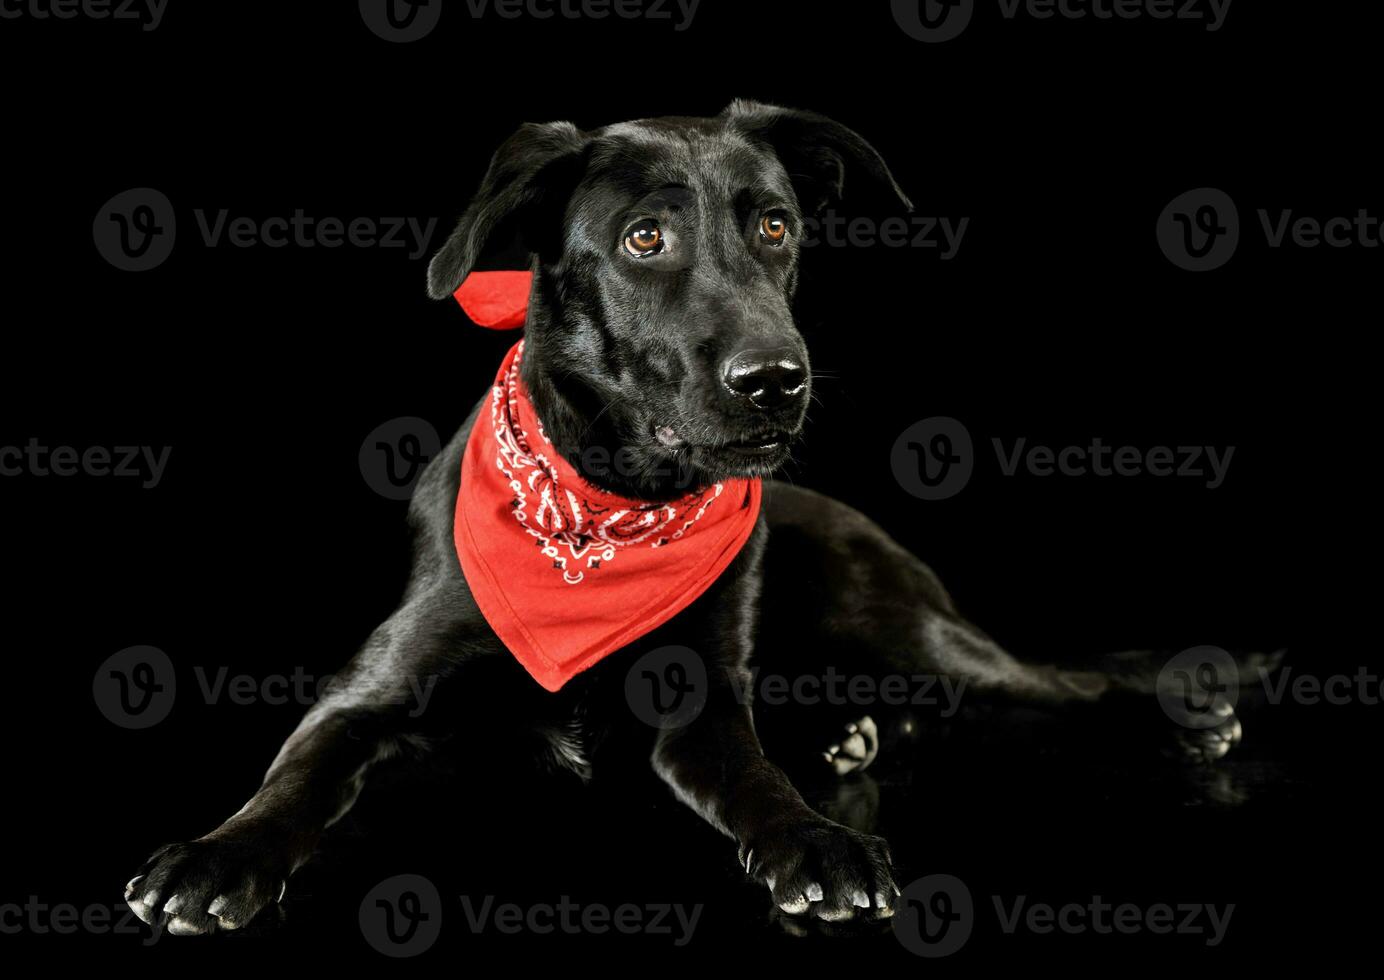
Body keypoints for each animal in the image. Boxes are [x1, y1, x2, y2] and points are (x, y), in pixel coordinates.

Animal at [121, 103, 1245, 935]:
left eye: (776, 226)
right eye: (644, 238)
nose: (778, 381)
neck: (606, 505)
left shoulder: (700, 706)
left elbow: (755, 779)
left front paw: (816, 838)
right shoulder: (370, 690)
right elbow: (297, 776)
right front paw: (214, 856)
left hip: (901, 620)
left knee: (1056, 682)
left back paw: (1180, 716)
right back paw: (849, 736)